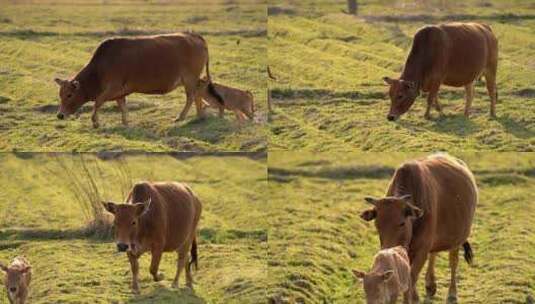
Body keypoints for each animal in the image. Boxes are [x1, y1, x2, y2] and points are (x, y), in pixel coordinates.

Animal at [54, 32, 222, 128]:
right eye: (60, 94)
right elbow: (122, 106)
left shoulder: (112, 88)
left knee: (191, 96)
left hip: (189, 79)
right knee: (198, 92)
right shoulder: (119, 92)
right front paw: (125, 122)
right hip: (193, 79)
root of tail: (195, 37)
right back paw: (200, 116)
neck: (100, 68)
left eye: (69, 94)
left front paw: (95, 121)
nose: (60, 115)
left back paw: (181, 117)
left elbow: (98, 101)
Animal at [360, 154, 478, 304]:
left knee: (453, 262)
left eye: (402, 223)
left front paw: (412, 298)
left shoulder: (421, 249)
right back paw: (430, 285)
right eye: (377, 224)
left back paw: (452, 293)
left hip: (457, 239)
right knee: (434, 254)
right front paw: (416, 295)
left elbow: (412, 276)